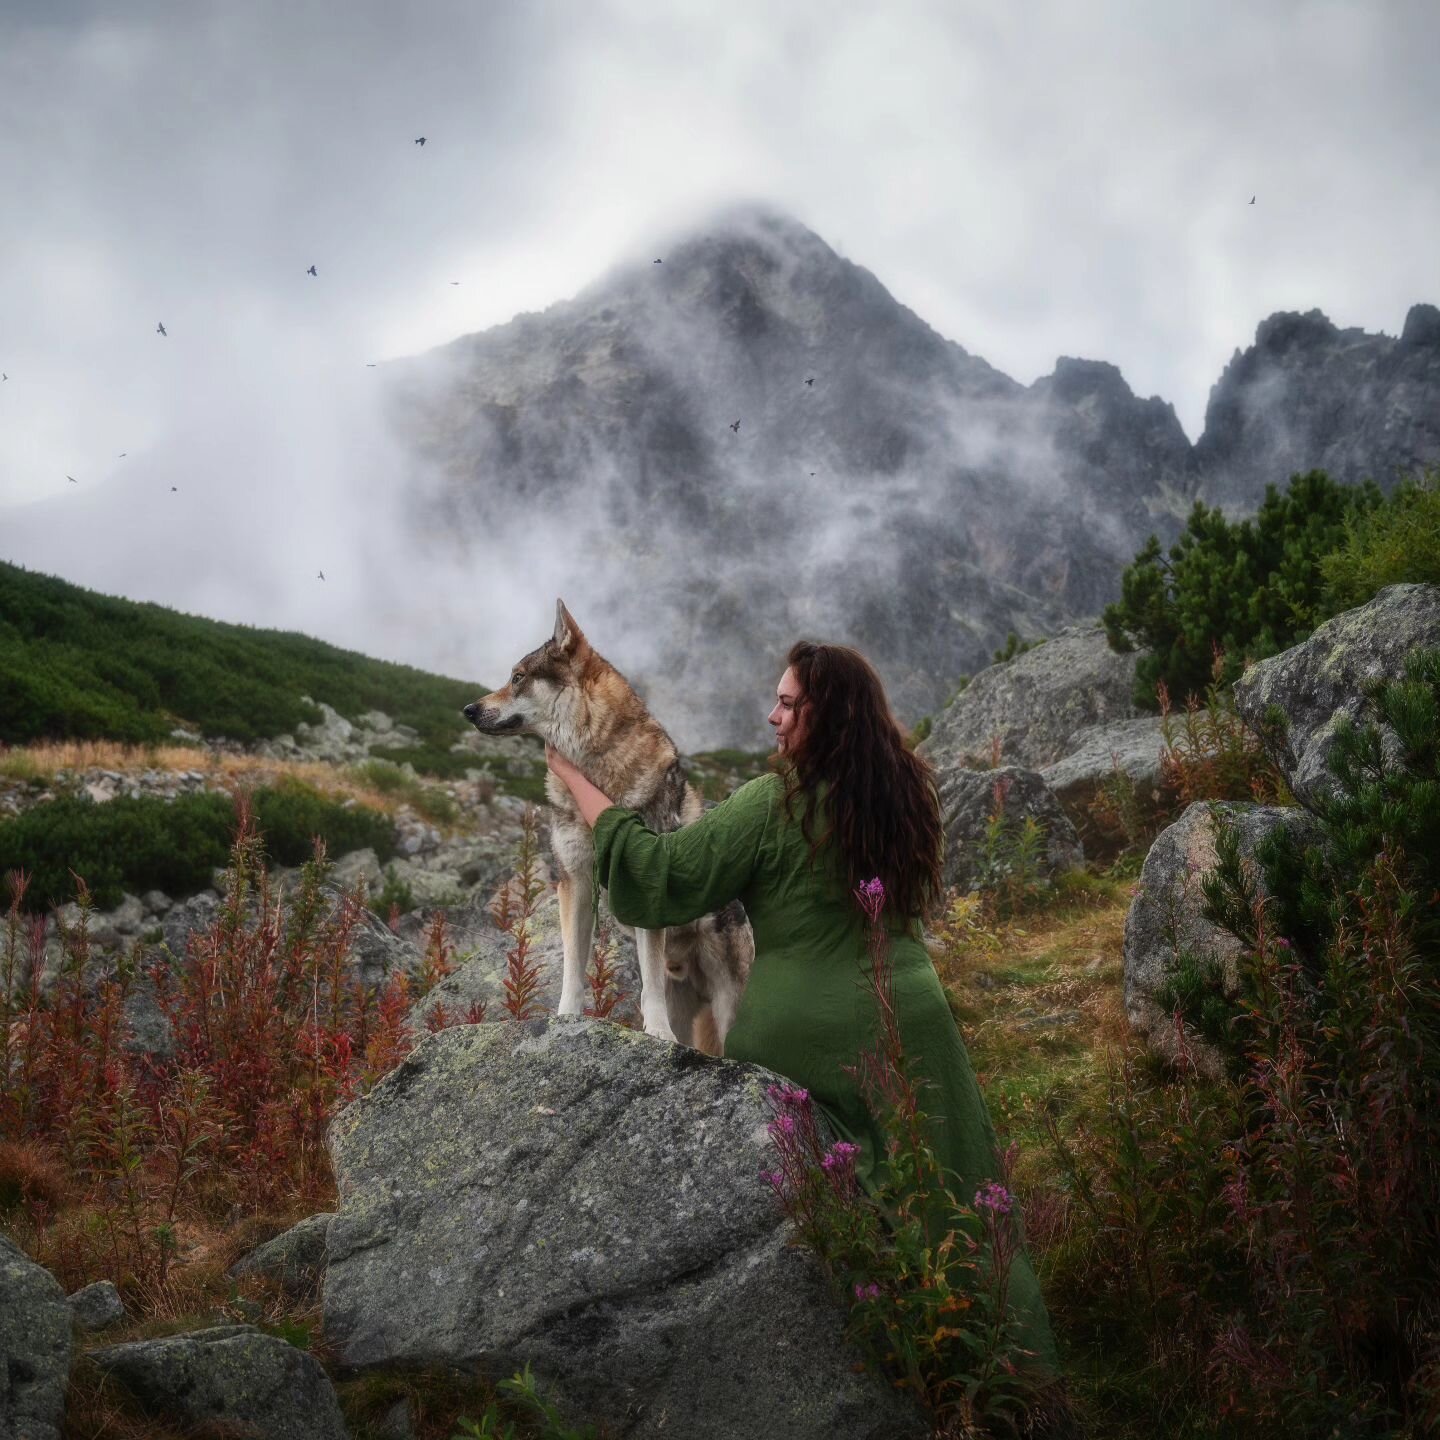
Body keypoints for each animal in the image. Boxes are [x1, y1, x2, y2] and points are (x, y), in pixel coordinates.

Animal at [463, 601, 754, 1054]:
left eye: (518, 677)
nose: (469, 710)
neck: (594, 773)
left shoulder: (647, 887)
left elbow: (648, 982)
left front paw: (657, 1033)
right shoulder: (575, 882)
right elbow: (573, 965)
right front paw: (566, 1018)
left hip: (726, 1009)